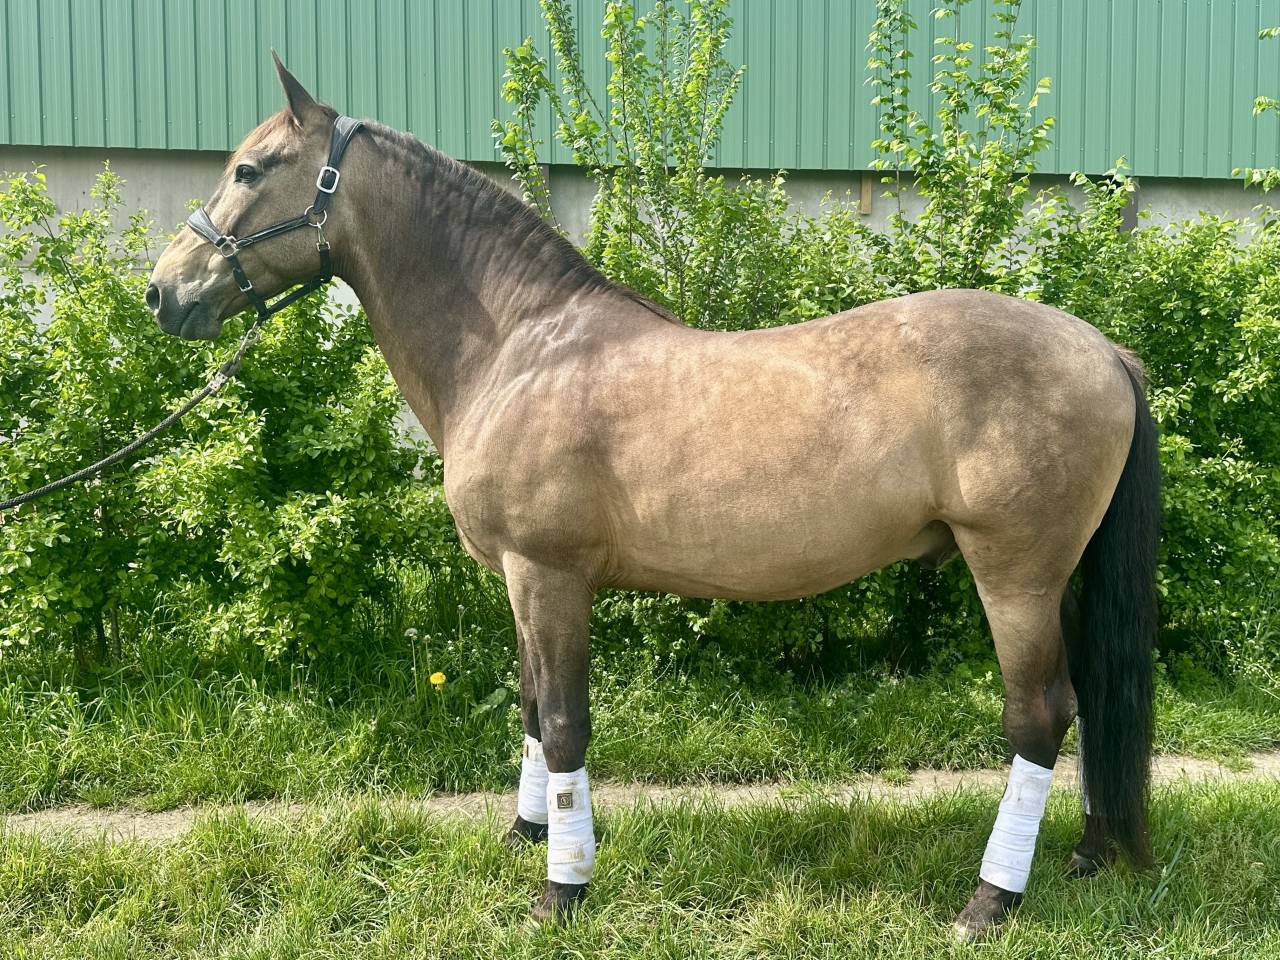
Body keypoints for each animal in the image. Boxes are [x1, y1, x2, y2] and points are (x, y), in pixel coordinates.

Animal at [146, 58, 1159, 939]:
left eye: (249, 169)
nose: (163, 292)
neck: (519, 346)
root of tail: (1104, 350)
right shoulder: (521, 582)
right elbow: (530, 708)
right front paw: (525, 836)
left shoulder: (548, 575)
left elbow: (563, 724)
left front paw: (561, 890)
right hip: (1059, 578)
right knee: (1090, 702)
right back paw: (1087, 856)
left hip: (1014, 576)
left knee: (1040, 716)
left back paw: (991, 900)